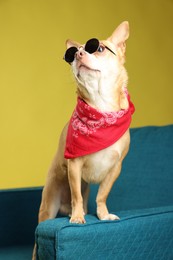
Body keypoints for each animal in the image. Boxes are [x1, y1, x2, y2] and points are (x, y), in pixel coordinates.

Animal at [32, 20, 135, 260]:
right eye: (71, 55)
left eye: (99, 48)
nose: (78, 53)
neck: (101, 108)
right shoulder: (74, 166)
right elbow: (77, 195)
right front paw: (77, 218)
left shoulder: (115, 168)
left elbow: (103, 194)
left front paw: (104, 215)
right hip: (48, 206)